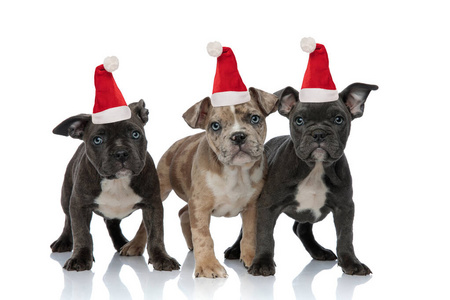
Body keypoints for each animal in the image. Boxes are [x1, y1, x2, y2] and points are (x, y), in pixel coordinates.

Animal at [123, 88, 278, 278]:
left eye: (255, 118)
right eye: (215, 126)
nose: (238, 136)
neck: (236, 171)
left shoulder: (252, 206)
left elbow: (250, 233)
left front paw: (251, 257)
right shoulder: (200, 205)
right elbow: (204, 236)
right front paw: (208, 265)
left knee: (183, 212)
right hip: (161, 187)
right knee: (145, 225)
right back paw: (134, 245)